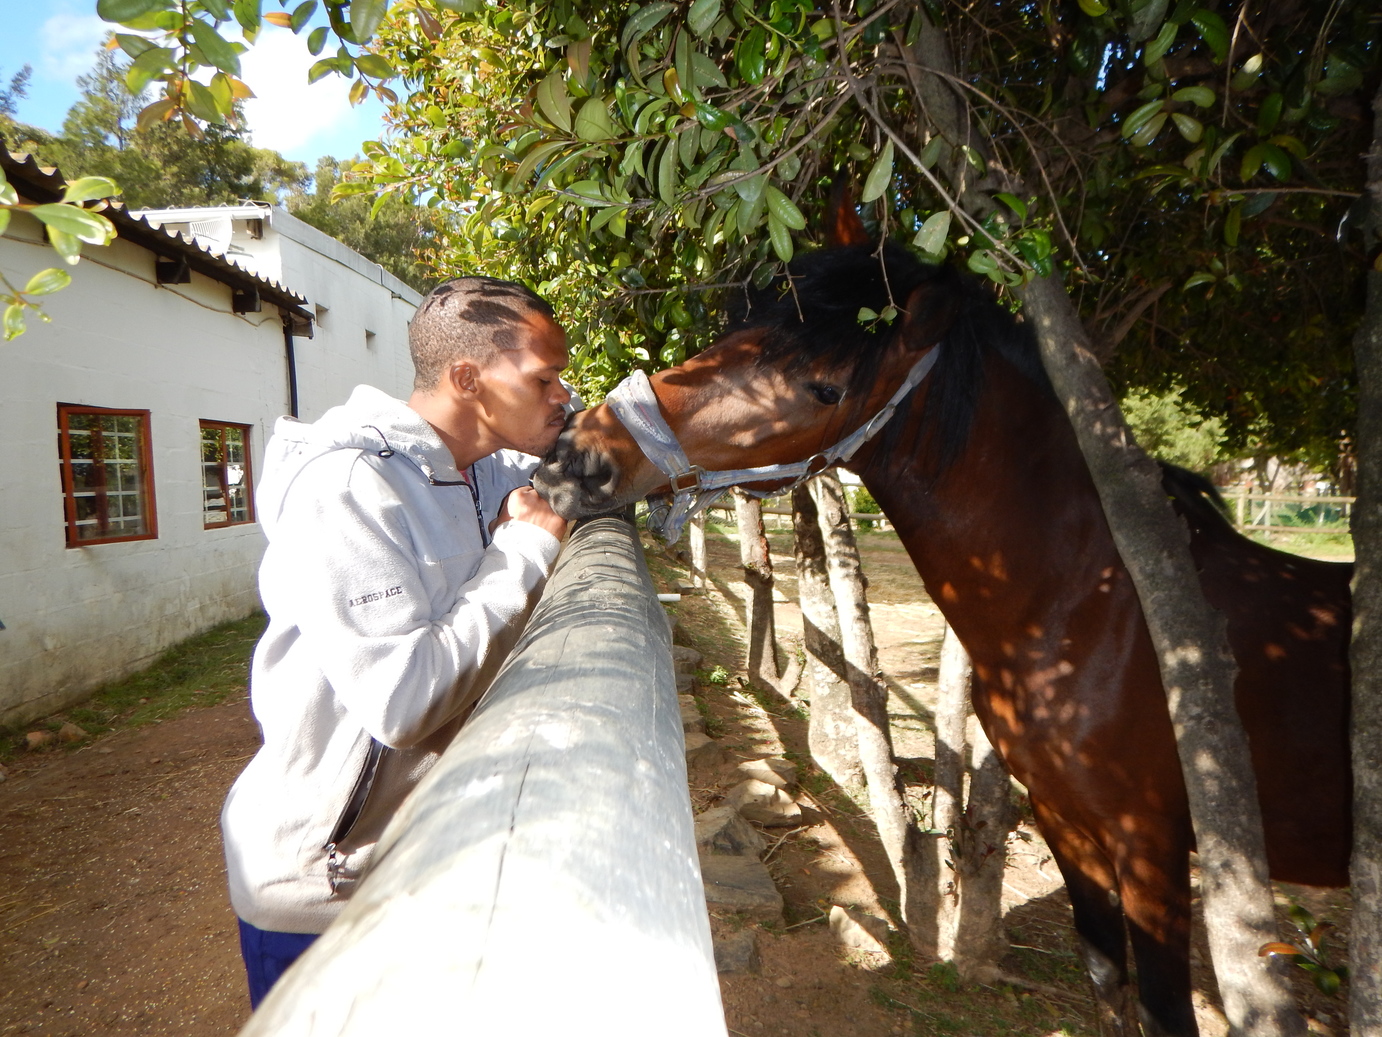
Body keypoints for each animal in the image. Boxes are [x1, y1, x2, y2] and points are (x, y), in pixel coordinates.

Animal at [533, 203, 1354, 1037]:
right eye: (738, 330)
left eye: (824, 387)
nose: (580, 454)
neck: (1100, 608)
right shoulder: (1070, 829)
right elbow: (1106, 981)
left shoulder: (1152, 851)